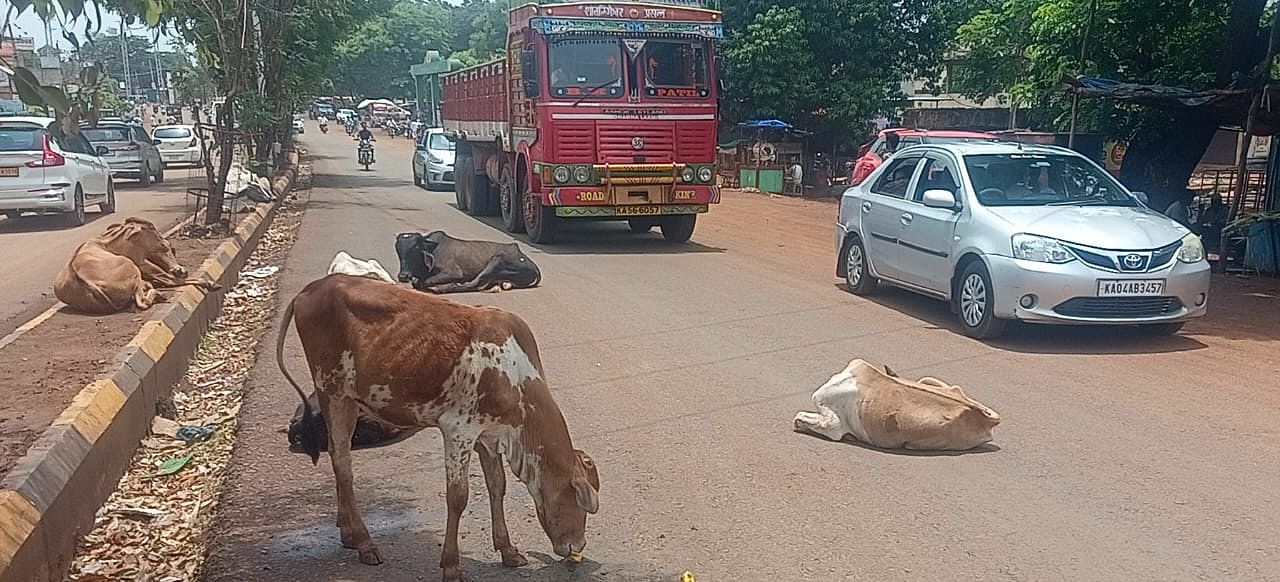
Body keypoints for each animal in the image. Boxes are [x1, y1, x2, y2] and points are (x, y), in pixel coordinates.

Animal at [52, 216, 212, 314]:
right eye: (152, 228)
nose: (165, 244)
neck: (107, 242)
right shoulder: (140, 261)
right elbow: (167, 278)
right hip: (132, 266)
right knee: (147, 297)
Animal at [277, 275, 596, 582]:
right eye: (580, 503)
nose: (577, 546)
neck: (515, 375)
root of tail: (311, 289)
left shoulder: (487, 436)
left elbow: (497, 486)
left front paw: (507, 550)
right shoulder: (458, 430)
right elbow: (458, 497)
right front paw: (451, 566)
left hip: (350, 400)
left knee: (336, 453)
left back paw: (347, 532)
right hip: (332, 391)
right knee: (343, 463)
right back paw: (364, 542)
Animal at [396, 231, 542, 294]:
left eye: (415, 248)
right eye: (398, 249)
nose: (403, 276)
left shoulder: (453, 272)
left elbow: (427, 281)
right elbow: (417, 282)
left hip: (497, 260)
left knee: (474, 283)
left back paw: (443, 288)